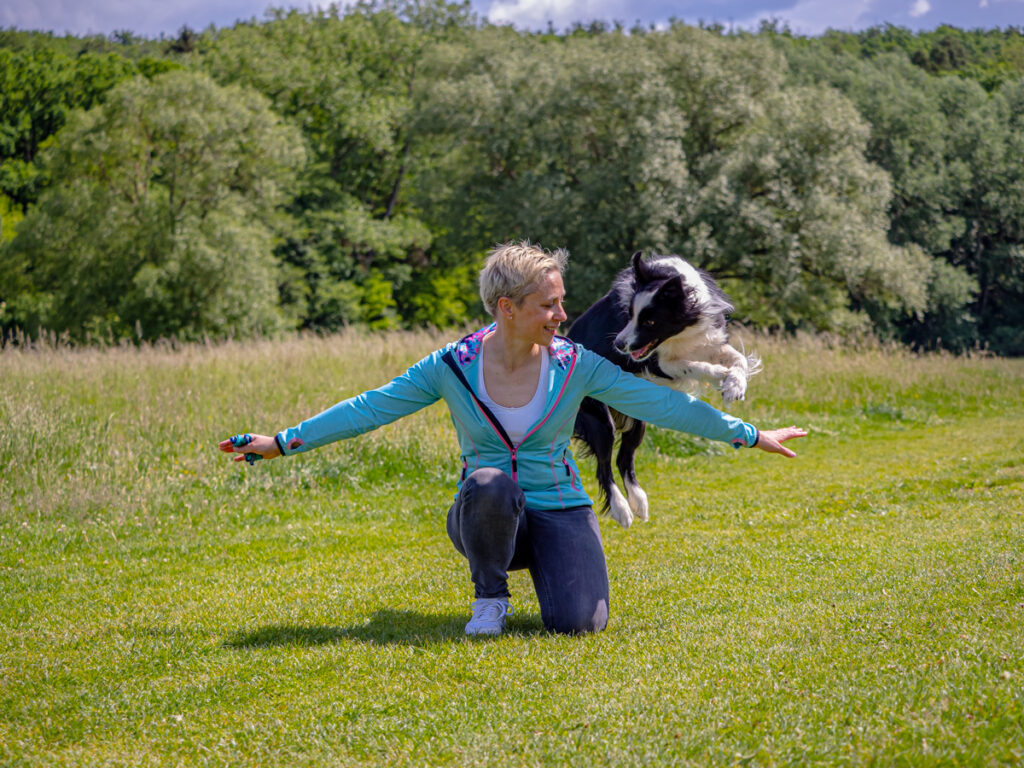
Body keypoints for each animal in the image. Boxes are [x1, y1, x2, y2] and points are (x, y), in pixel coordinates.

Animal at [569, 252, 761, 528]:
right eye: (629, 314)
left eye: (650, 321)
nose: (618, 344)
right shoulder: (655, 363)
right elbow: (692, 367)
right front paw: (719, 375)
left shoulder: (706, 338)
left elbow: (738, 358)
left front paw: (734, 385)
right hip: (598, 416)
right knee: (604, 462)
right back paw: (622, 510)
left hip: (638, 416)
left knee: (624, 458)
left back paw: (639, 501)